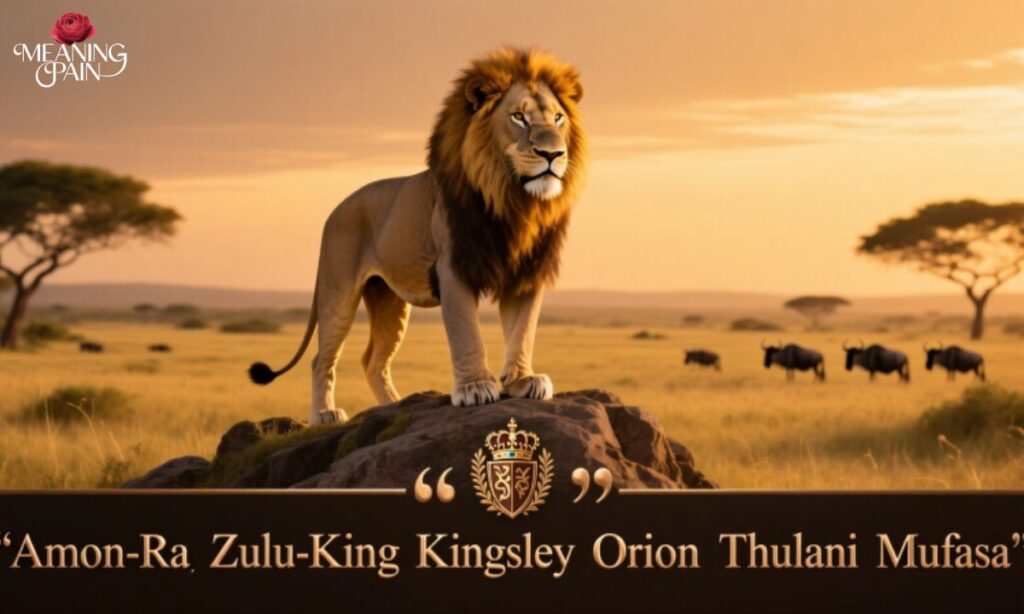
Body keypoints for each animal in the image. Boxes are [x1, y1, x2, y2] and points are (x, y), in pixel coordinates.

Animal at [248, 47, 586, 424]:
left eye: (558, 118)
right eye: (518, 118)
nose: (552, 154)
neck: (514, 202)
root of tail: (335, 210)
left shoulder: (527, 270)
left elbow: (522, 330)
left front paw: (522, 381)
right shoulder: (453, 266)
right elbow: (466, 332)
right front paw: (474, 387)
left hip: (388, 301)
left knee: (373, 361)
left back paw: (394, 406)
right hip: (338, 290)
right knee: (321, 358)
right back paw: (325, 414)